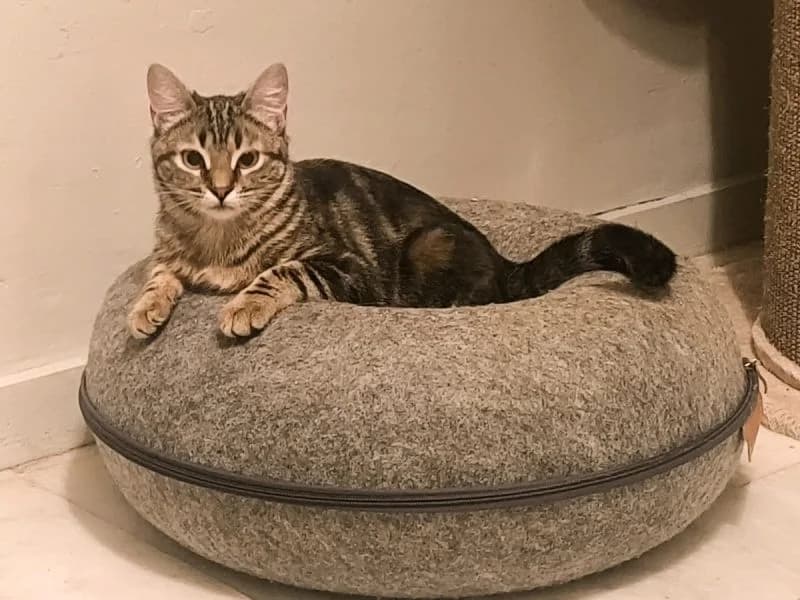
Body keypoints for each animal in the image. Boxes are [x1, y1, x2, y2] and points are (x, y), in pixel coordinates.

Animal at [128, 62, 677, 339]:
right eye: (193, 159)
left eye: (248, 160)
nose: (221, 188)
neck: (218, 237)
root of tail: (502, 263)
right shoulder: (167, 250)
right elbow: (160, 270)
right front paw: (146, 306)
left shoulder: (351, 266)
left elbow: (284, 270)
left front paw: (245, 303)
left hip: (427, 248)